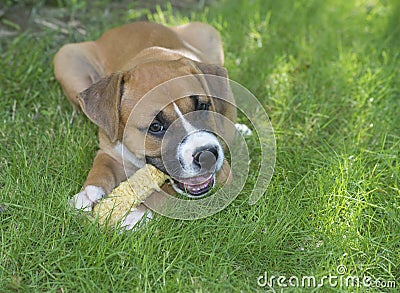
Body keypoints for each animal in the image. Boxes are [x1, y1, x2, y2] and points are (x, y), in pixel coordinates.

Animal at [55, 21, 239, 227]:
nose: (207, 156)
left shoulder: (223, 174)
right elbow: (101, 168)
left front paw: (134, 213)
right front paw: (88, 194)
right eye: (156, 127)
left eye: (202, 106)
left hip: (207, 32)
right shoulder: (109, 150)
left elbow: (161, 192)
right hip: (66, 58)